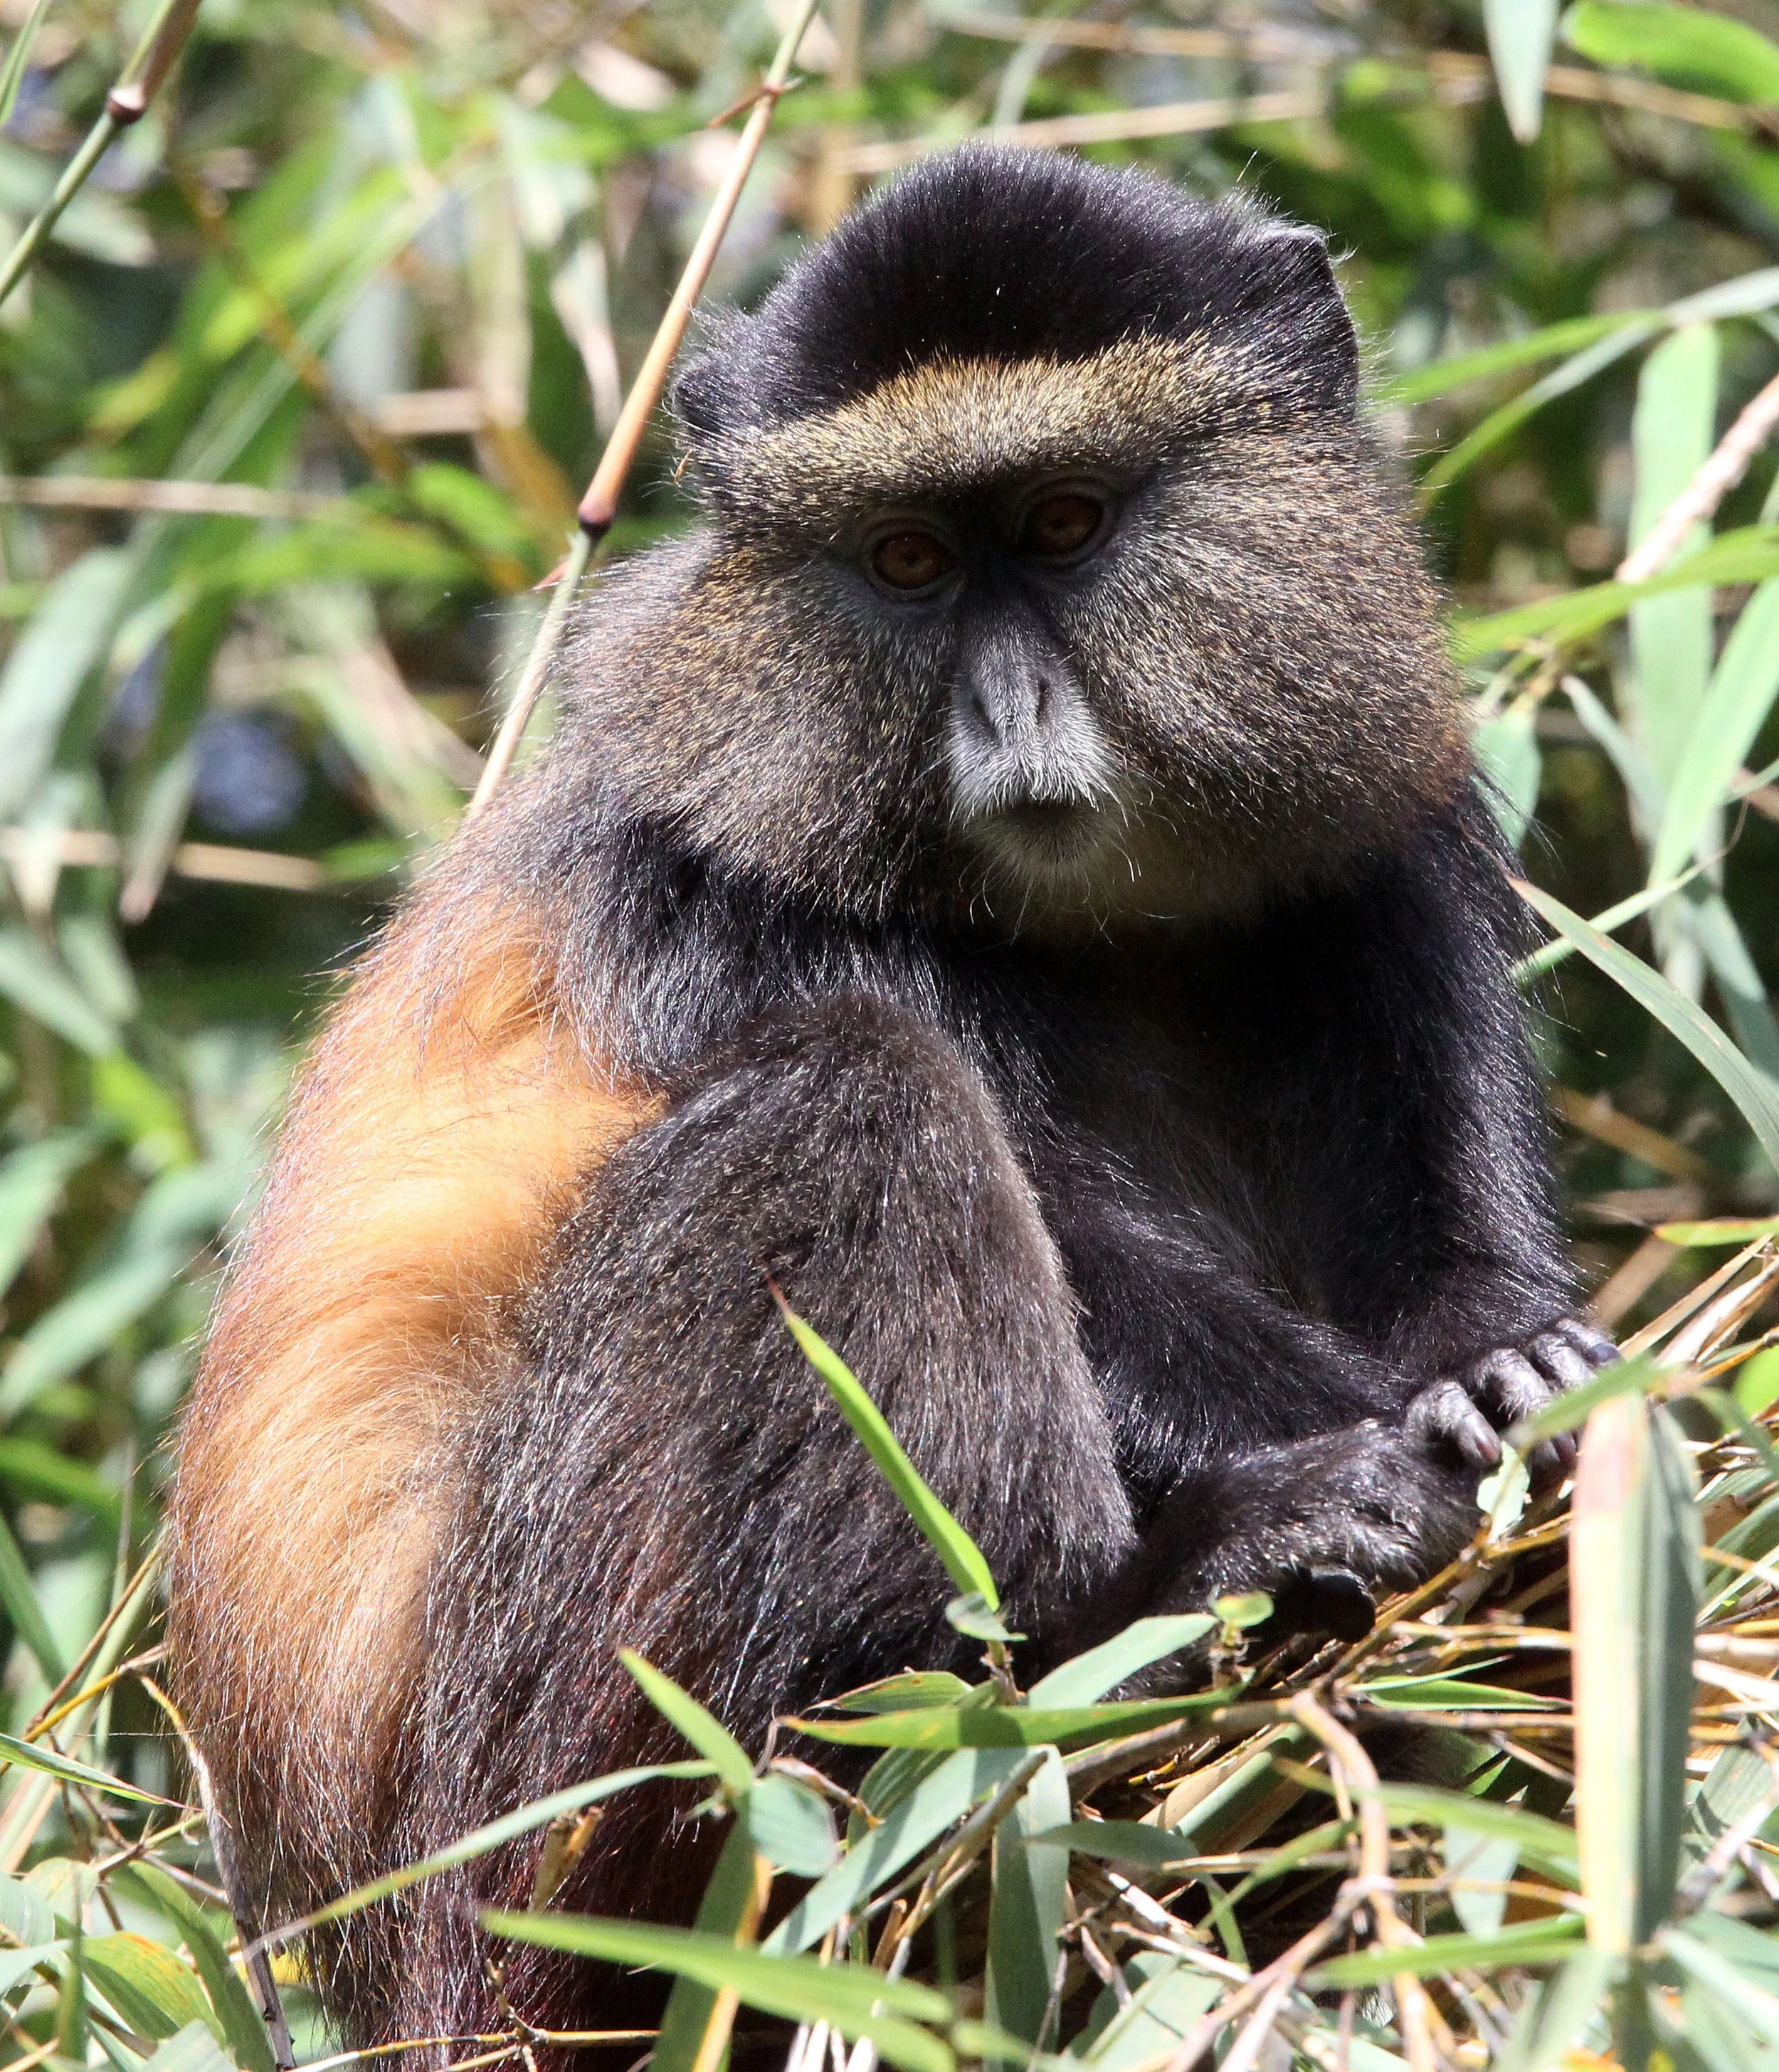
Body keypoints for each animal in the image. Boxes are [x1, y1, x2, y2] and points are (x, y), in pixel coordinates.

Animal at [165, 143, 1613, 2059]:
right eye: (907, 559)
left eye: (1066, 524)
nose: (1008, 719)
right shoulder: (729, 894)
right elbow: (1056, 1238)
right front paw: (1382, 1450)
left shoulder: (1377, 794)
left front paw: (1504, 1362)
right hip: (517, 1810)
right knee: (854, 1112)